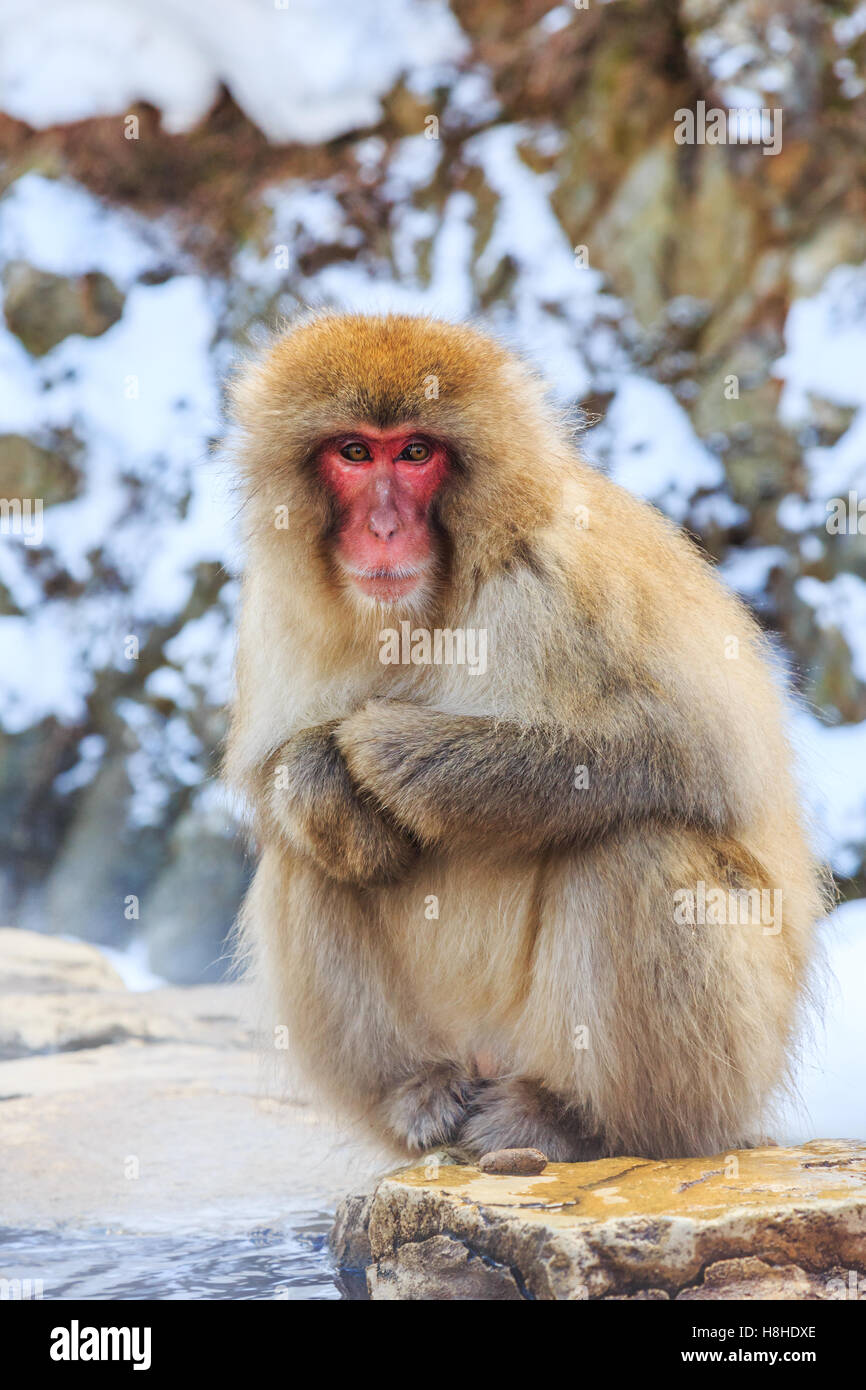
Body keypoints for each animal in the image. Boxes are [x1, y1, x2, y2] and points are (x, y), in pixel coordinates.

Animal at [222, 315, 817, 1162]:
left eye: (416, 452)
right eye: (354, 452)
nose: (383, 528)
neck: (433, 601)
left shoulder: (570, 573)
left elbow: (703, 757)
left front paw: (401, 756)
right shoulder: (275, 600)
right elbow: (272, 776)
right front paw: (316, 773)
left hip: (736, 1060)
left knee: (637, 841)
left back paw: (576, 1117)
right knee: (306, 855)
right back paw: (417, 1091)